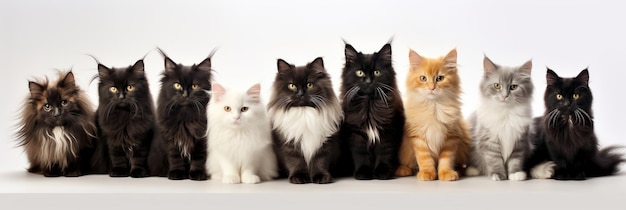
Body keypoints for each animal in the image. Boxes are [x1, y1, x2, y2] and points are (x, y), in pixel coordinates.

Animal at [147, 48, 212, 180]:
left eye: (194, 86)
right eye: (177, 85)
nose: (185, 94)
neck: (185, 116)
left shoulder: (200, 138)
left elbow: (198, 158)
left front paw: (197, 174)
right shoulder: (171, 138)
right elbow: (175, 158)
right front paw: (177, 173)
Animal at [336, 43, 404, 180]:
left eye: (377, 72)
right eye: (360, 72)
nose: (368, 81)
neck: (369, 105)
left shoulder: (387, 131)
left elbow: (384, 153)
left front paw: (383, 173)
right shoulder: (356, 134)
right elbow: (360, 155)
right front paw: (363, 173)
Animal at [394, 48, 468, 181]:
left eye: (440, 78)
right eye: (423, 78)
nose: (431, 88)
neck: (433, 107)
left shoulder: (451, 137)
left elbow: (446, 159)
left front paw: (446, 173)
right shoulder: (418, 137)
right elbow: (424, 159)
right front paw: (427, 173)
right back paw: (404, 169)